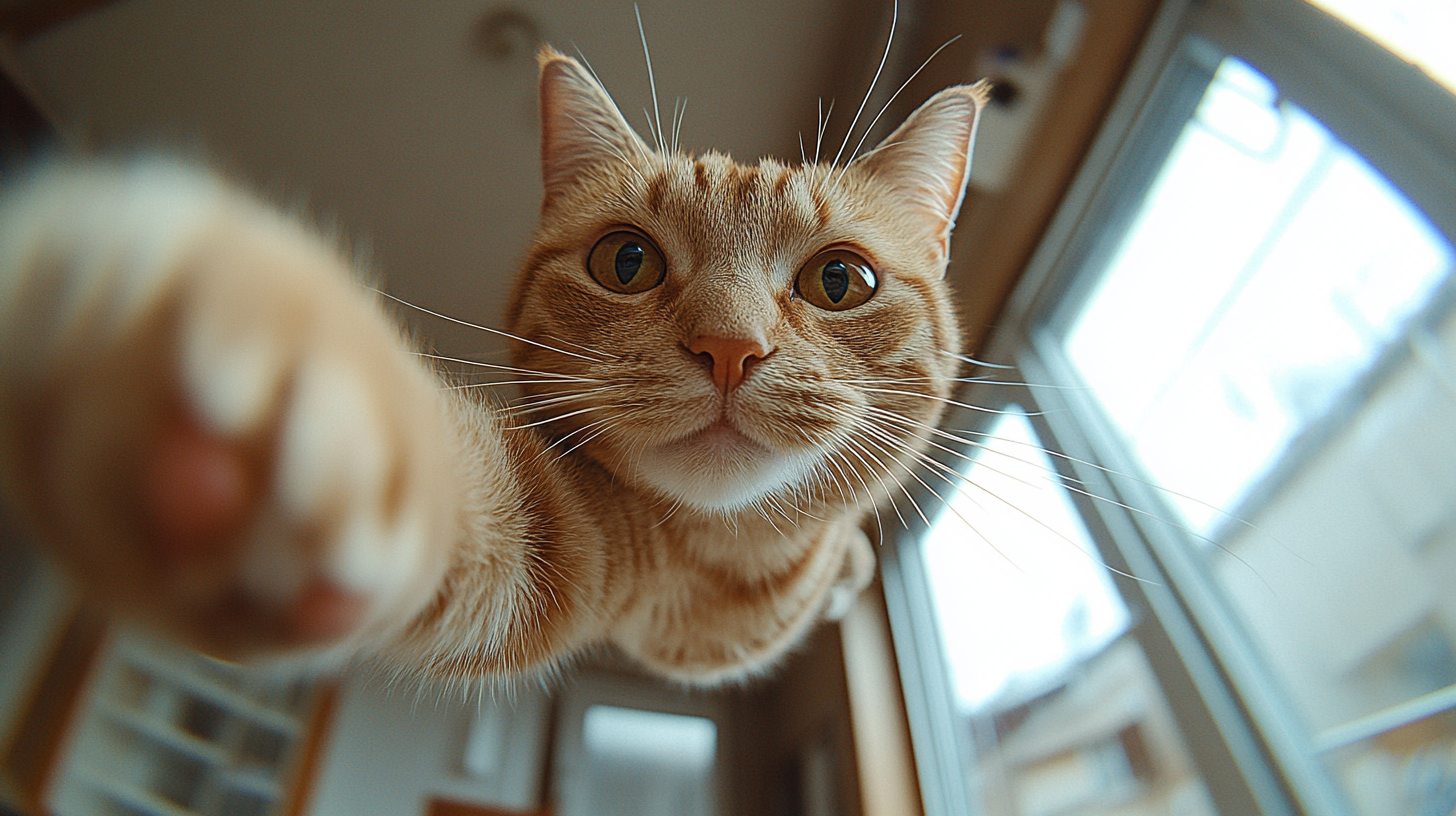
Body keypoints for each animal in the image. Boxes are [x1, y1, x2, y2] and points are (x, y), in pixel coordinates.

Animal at [0, 46, 990, 687]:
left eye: (840, 280)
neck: (719, 579)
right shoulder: (567, 536)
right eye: (627, 262)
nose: (728, 347)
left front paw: (851, 564)